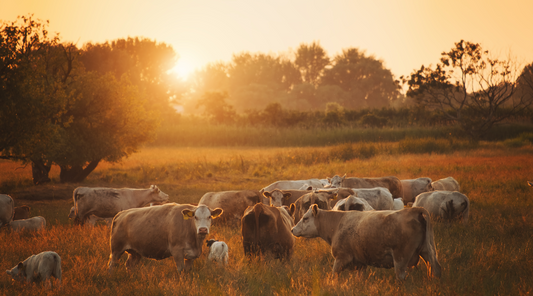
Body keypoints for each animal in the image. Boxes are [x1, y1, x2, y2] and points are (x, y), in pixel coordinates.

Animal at [290, 205, 440, 280]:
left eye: (305, 218)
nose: (292, 229)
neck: (337, 224)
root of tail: (414, 210)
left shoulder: (341, 258)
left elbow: (334, 275)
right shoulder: (361, 263)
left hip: (400, 258)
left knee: (401, 276)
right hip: (427, 251)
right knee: (435, 268)